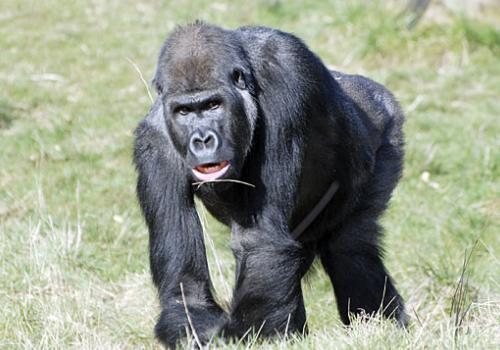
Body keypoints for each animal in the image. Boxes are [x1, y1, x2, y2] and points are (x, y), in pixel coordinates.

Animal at [134, 22, 406, 348]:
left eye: (213, 105)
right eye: (183, 112)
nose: (202, 140)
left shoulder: (284, 82)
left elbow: (260, 241)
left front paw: (236, 337)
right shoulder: (154, 142)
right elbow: (187, 287)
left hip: (386, 137)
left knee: (350, 249)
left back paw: (383, 328)